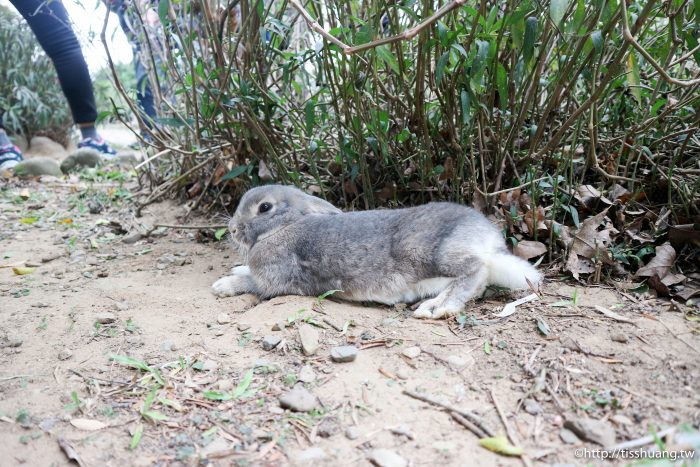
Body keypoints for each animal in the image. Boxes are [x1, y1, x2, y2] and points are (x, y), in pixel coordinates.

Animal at [213, 185, 540, 320]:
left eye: (264, 208)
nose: (232, 229)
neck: (285, 227)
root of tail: (489, 242)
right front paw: (235, 269)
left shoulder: (275, 279)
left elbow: (252, 283)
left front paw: (222, 285)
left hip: (432, 253)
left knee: (474, 271)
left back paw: (436, 308)